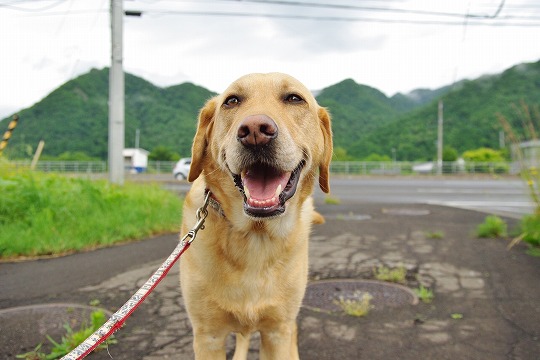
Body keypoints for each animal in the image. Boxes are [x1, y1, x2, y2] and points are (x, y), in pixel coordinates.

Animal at [179, 71, 332, 358]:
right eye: (231, 101)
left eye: (294, 98)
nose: (254, 131)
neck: (255, 235)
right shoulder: (208, 336)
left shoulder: (277, 331)